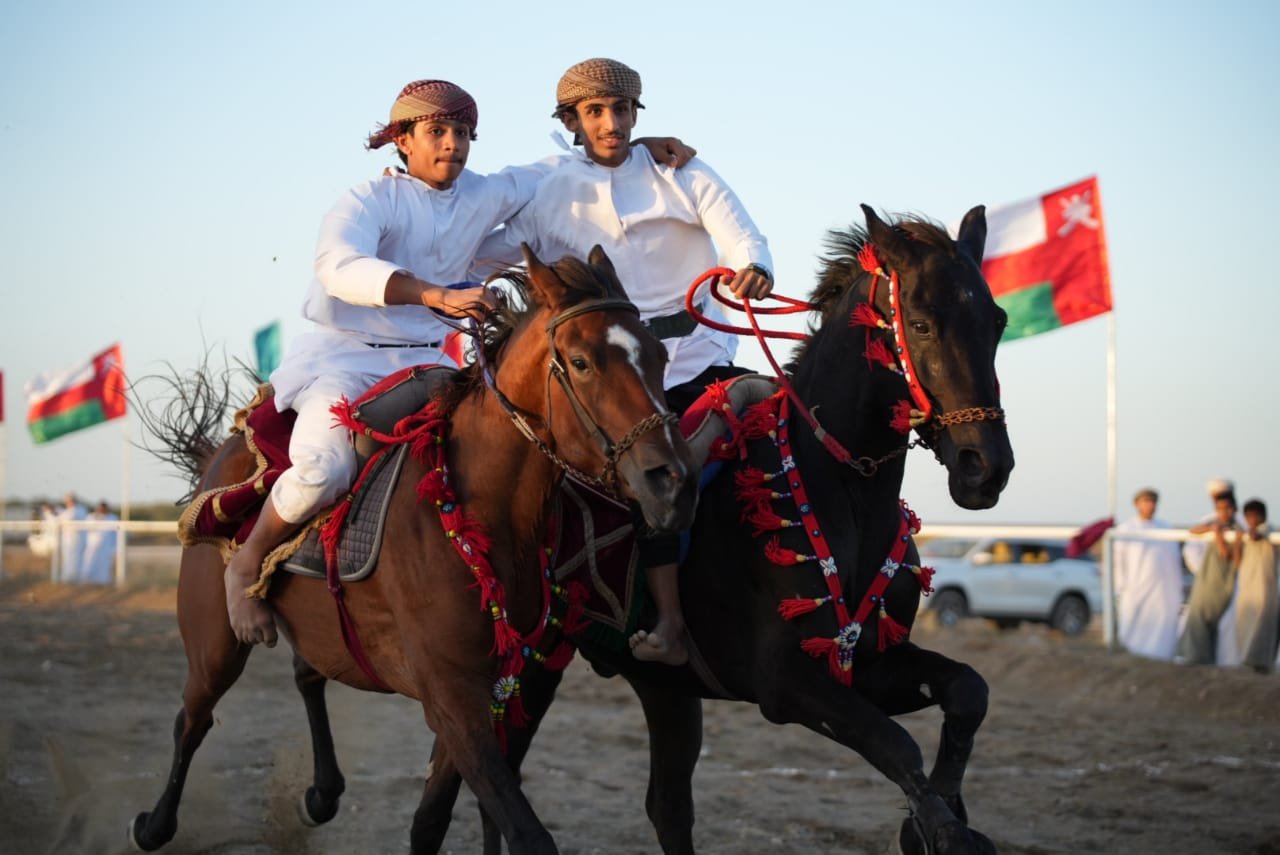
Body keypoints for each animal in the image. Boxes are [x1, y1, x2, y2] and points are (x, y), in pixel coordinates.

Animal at [127, 245, 699, 855]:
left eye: (659, 355)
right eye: (582, 361)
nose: (674, 482)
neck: (482, 515)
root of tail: (224, 448)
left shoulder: (498, 688)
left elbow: (432, 820)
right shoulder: (451, 694)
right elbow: (523, 832)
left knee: (306, 674)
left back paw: (322, 792)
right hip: (213, 643)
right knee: (192, 718)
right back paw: (155, 822)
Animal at [407, 204, 1015, 854]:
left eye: (997, 321)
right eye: (921, 324)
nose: (985, 467)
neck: (842, 494)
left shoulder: (869, 662)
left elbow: (969, 692)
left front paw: (945, 811)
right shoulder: (788, 684)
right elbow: (896, 745)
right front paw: (940, 829)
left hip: (661, 688)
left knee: (666, 807)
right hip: (526, 670)